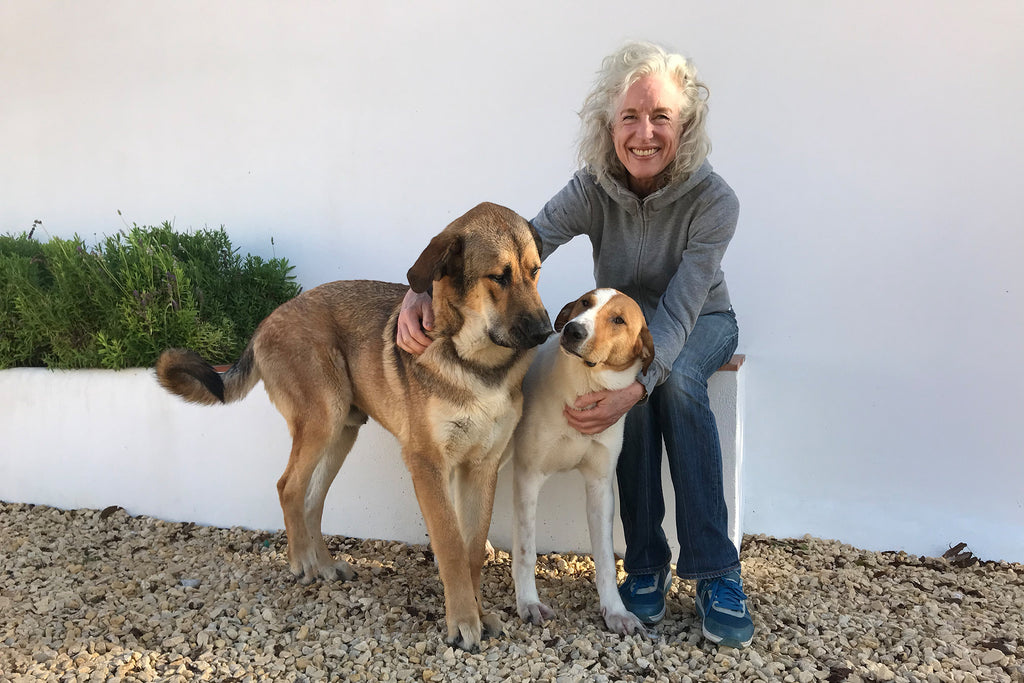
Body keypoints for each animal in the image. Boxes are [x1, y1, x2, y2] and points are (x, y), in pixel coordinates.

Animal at [153, 202, 552, 651]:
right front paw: (463, 621)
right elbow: (450, 545)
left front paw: (480, 614)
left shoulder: (481, 468)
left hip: (343, 432)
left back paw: (325, 565)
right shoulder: (426, 463)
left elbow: (471, 552)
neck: (476, 363)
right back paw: (302, 562)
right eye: (498, 277)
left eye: (535, 271)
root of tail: (265, 322)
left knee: (312, 500)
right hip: (322, 422)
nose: (546, 331)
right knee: (288, 487)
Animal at [507, 286, 651, 634]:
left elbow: (606, 560)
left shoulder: (600, 487)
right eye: (585, 302)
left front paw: (616, 612)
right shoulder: (528, 477)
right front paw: (528, 603)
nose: (573, 330)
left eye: (618, 320)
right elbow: (526, 551)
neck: (584, 386)